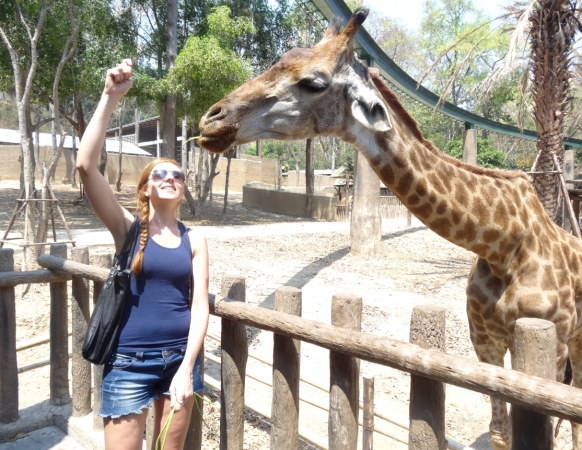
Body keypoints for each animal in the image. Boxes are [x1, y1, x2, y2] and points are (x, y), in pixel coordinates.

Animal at [200, 7, 582, 450]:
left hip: (574, 342)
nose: (211, 121)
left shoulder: (550, 347)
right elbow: (501, 434)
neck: (502, 243)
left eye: (314, 82)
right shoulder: (484, 342)